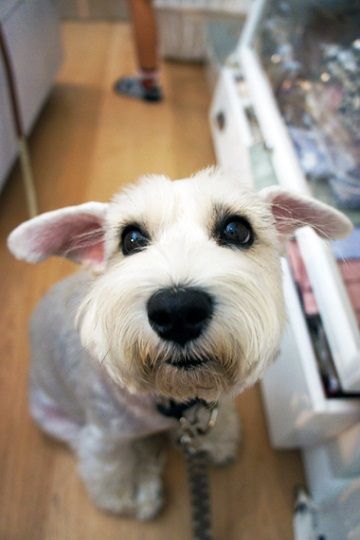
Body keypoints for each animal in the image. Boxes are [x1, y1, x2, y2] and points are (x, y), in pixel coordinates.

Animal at [7, 168, 352, 520]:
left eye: (237, 229)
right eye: (131, 239)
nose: (177, 312)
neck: (173, 399)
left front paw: (219, 440)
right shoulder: (104, 436)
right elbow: (111, 466)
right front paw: (126, 491)